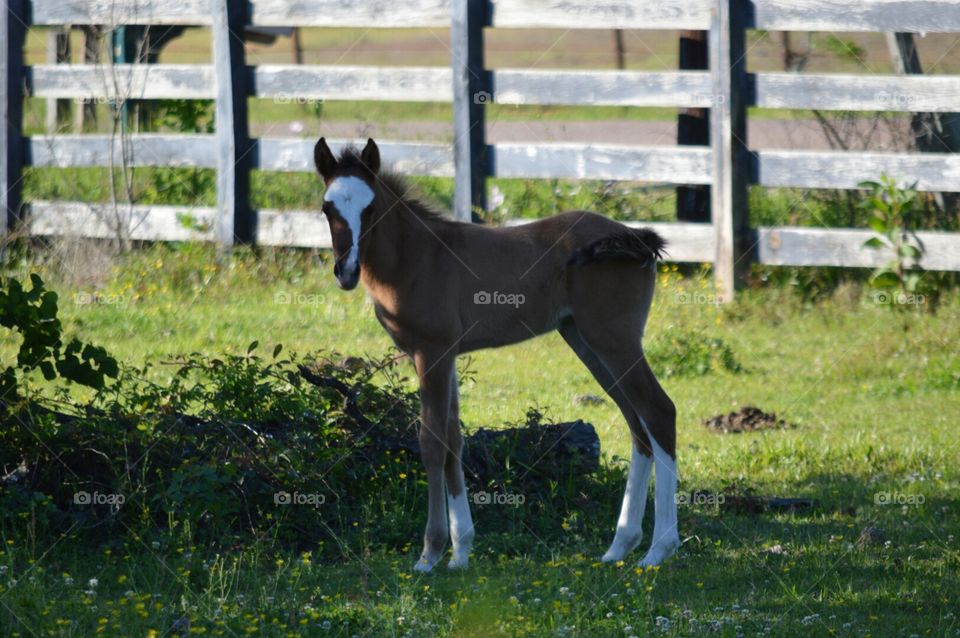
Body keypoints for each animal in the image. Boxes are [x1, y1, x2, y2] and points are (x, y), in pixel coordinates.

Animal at [314, 137, 679, 572]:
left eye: (370, 208)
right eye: (327, 208)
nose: (346, 271)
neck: (416, 257)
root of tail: (634, 236)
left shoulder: (431, 352)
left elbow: (432, 443)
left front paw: (430, 554)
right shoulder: (448, 355)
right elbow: (454, 440)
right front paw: (461, 552)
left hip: (614, 340)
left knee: (659, 411)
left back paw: (659, 550)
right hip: (586, 341)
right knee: (637, 425)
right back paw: (620, 545)